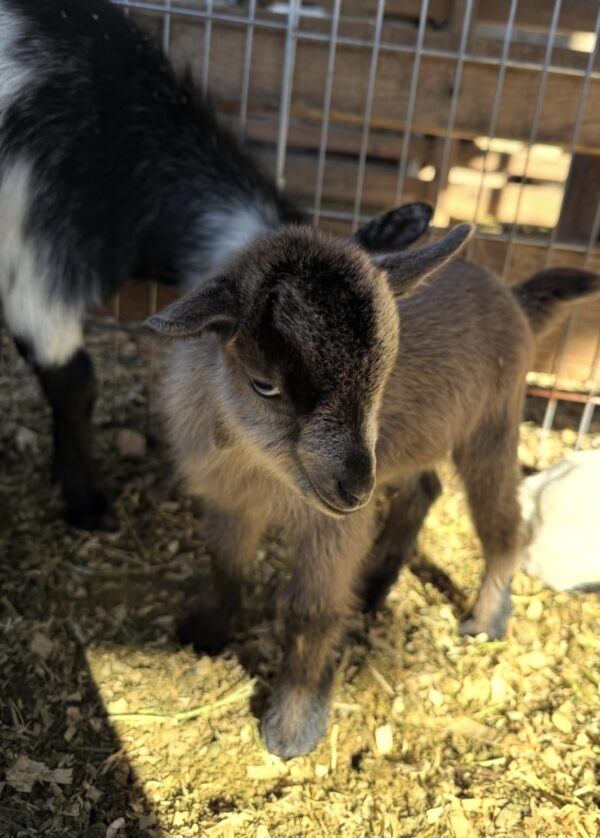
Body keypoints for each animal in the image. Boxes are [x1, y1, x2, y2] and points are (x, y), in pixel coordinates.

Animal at [148, 243, 600, 759]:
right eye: (264, 384)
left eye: (383, 376)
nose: (356, 489)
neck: (258, 466)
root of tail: (512, 295)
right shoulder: (229, 503)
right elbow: (225, 566)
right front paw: (203, 635)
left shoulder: (333, 529)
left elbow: (310, 611)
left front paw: (293, 728)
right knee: (427, 489)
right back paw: (372, 585)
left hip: (492, 422)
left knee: (503, 523)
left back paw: (486, 622)